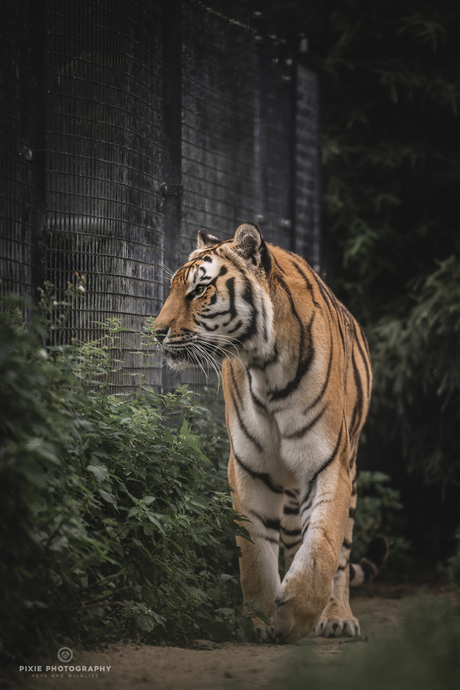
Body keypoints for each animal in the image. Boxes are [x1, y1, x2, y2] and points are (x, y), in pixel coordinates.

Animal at [155, 222, 388, 640]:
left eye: (199, 290)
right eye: (173, 289)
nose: (156, 332)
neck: (266, 367)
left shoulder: (328, 463)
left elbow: (323, 544)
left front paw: (298, 611)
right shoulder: (249, 467)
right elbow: (254, 551)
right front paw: (261, 619)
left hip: (350, 469)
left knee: (341, 554)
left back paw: (336, 617)